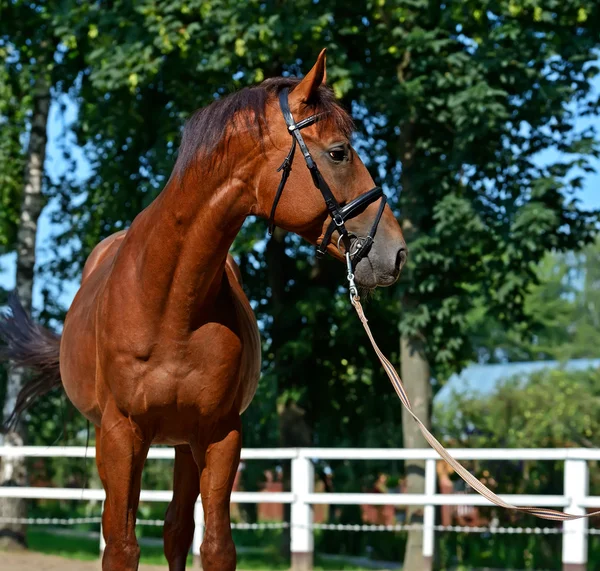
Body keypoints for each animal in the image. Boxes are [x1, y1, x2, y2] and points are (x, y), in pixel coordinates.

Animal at [0, 50, 406, 571]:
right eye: (338, 153)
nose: (395, 252)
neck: (171, 304)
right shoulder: (121, 434)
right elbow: (121, 545)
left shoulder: (219, 434)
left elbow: (214, 546)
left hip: (183, 443)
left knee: (177, 529)